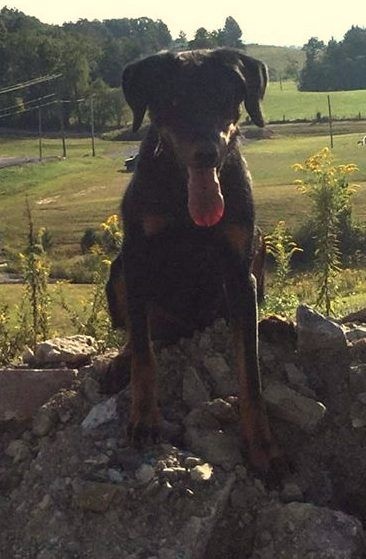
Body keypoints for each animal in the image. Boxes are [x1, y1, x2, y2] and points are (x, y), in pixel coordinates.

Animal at [107, 47, 278, 472]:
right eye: (173, 102)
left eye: (223, 97)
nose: (206, 154)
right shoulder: (137, 261)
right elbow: (144, 357)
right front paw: (144, 420)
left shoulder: (239, 271)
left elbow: (250, 372)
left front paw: (262, 446)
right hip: (118, 270)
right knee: (140, 331)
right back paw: (121, 359)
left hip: (259, 249)